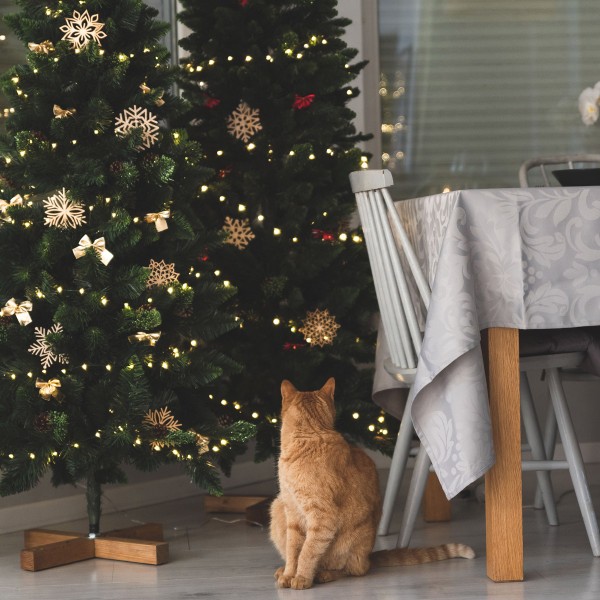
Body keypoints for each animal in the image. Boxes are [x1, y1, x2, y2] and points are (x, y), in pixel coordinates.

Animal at [270, 378, 474, 588]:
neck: (308, 437)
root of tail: (370, 557)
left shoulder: (322, 517)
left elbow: (307, 552)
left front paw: (302, 578)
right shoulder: (292, 512)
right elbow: (293, 550)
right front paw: (289, 574)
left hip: (351, 545)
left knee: (353, 570)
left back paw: (323, 574)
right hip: (277, 506)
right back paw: (282, 570)